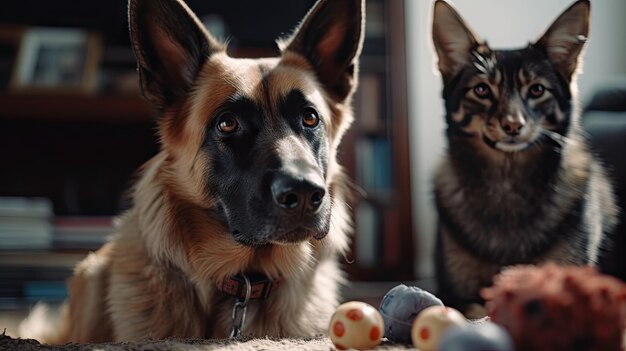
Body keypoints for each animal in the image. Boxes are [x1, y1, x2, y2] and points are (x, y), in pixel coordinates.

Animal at [428, 0, 616, 314]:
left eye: (537, 89)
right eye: (481, 89)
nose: (513, 126)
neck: (507, 181)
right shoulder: (458, 295)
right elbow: (474, 310)